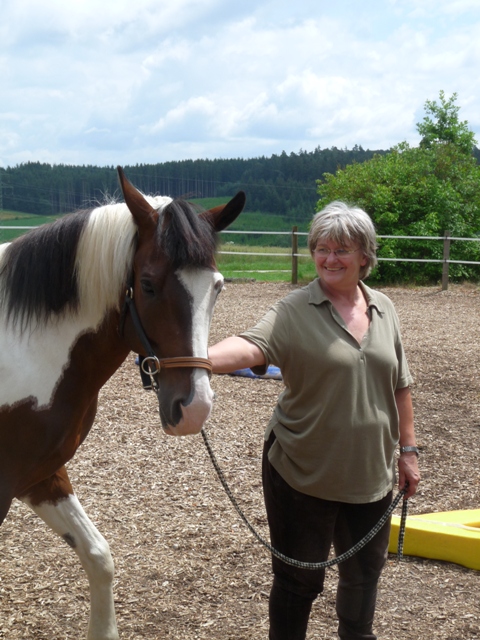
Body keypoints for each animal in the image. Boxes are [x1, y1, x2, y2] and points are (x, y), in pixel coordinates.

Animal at [0, 169, 246, 640]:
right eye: (147, 284)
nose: (194, 409)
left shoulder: (39, 474)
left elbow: (99, 555)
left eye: (218, 287)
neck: (23, 351)